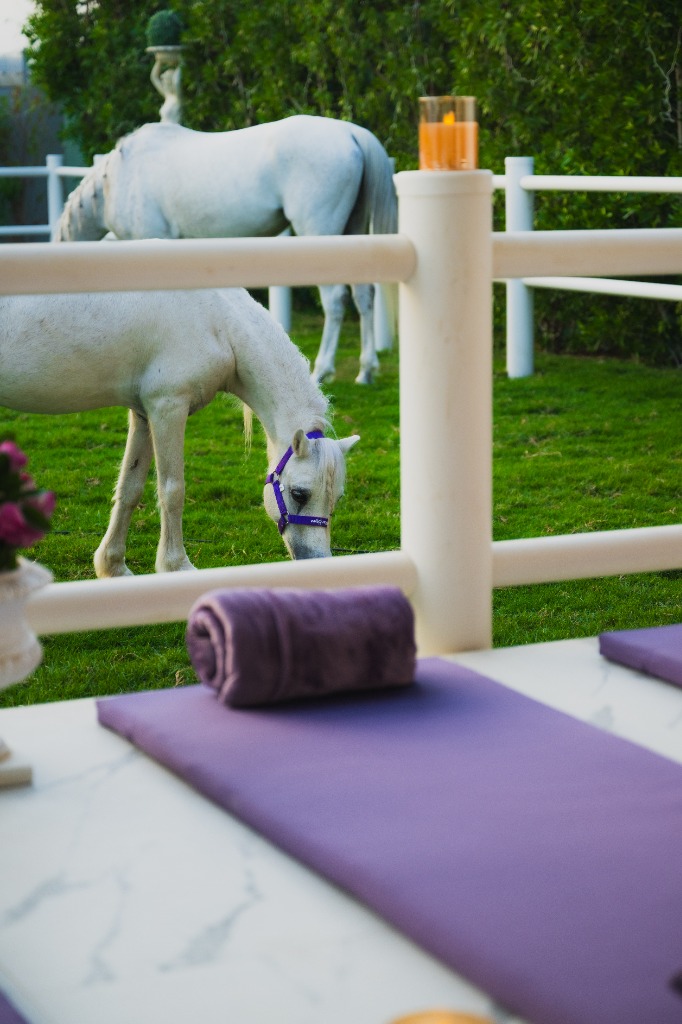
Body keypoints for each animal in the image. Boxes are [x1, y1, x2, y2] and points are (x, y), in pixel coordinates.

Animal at [0, 286, 359, 576]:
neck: (218, 322)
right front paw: (175, 566)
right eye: (299, 494)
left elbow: (129, 489)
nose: (317, 562)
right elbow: (172, 490)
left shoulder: (143, 414)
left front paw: (112, 566)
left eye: (337, 498)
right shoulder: (167, 408)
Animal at [56, 115, 398, 384]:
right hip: (352, 234)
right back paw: (366, 370)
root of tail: (351, 133)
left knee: (336, 300)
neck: (116, 181)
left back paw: (322, 370)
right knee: (364, 295)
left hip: (320, 236)